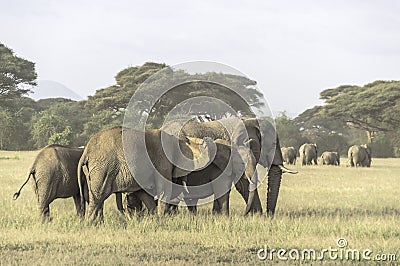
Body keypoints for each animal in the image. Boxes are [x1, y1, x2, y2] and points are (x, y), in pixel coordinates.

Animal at [78, 125, 216, 223]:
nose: (207, 140)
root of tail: (86, 151)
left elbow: (144, 193)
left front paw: (154, 220)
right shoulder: (162, 160)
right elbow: (164, 190)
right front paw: (161, 220)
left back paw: (98, 223)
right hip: (103, 167)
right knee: (99, 195)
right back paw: (90, 224)